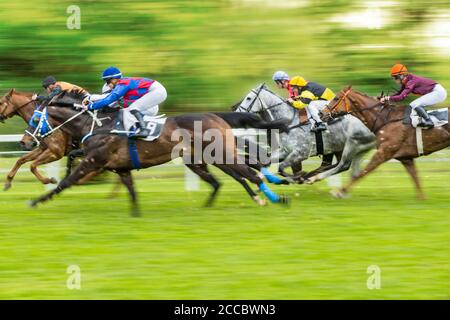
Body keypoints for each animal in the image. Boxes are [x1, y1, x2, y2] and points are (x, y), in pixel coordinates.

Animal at [22, 92, 288, 218]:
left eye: (35, 119)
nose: (26, 141)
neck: (96, 125)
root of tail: (215, 115)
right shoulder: (121, 168)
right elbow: (132, 191)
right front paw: (136, 215)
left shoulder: (92, 161)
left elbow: (65, 182)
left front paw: (37, 200)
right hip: (202, 160)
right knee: (228, 178)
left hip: (221, 154)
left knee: (249, 173)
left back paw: (274, 197)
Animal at [232, 84, 376, 184]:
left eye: (248, 98)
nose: (237, 111)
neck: (290, 121)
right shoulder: (285, 151)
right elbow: (269, 163)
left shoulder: (300, 153)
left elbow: (281, 168)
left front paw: (297, 177)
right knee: (339, 165)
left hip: (353, 144)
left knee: (342, 165)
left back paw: (311, 177)